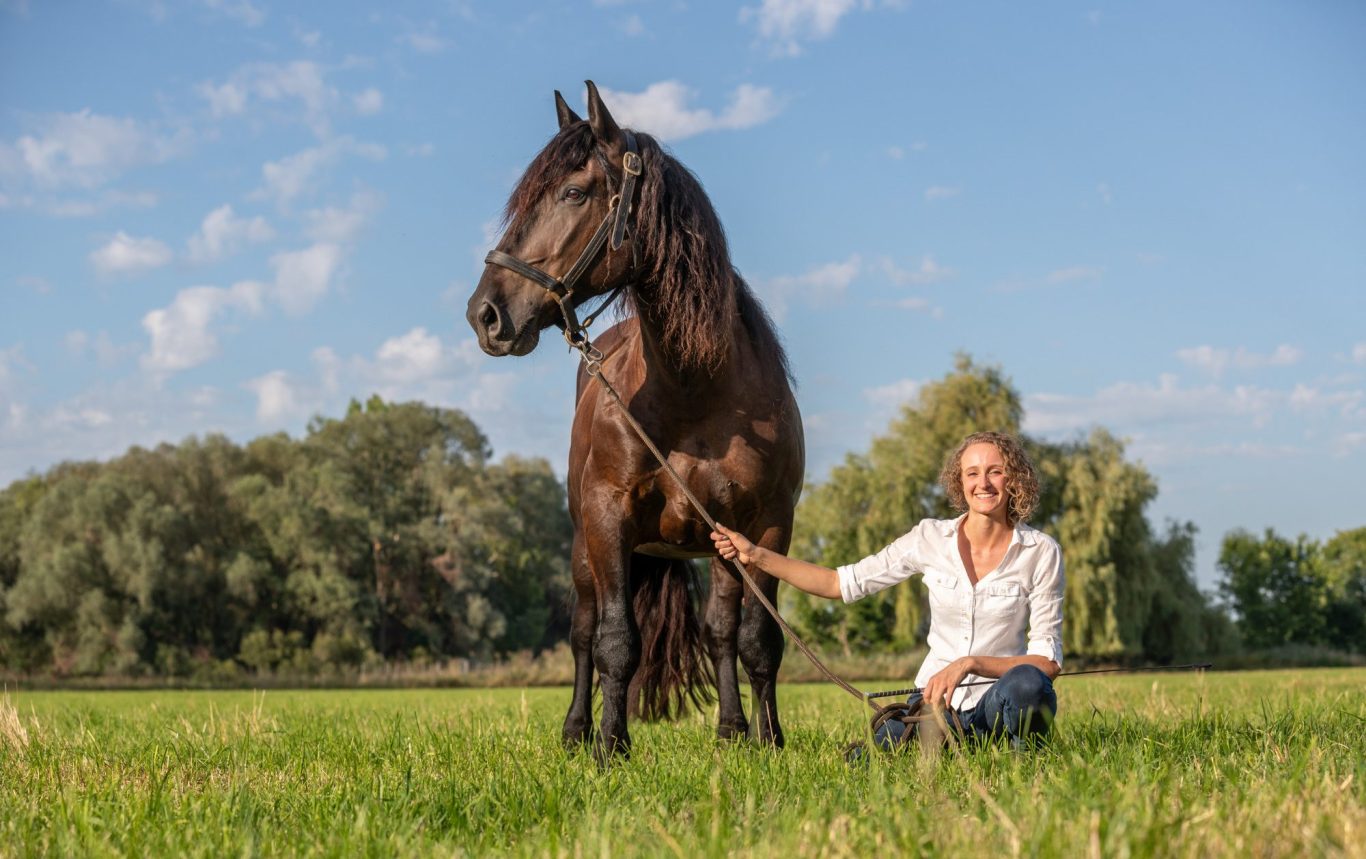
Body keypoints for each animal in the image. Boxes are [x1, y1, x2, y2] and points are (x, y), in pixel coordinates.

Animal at [466, 81, 804, 759]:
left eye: (573, 192)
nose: (484, 314)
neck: (696, 394)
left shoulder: (766, 526)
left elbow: (757, 640)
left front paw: (768, 740)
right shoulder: (607, 519)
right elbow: (615, 641)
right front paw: (609, 748)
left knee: (720, 631)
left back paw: (731, 730)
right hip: (583, 551)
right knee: (582, 631)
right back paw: (576, 731)